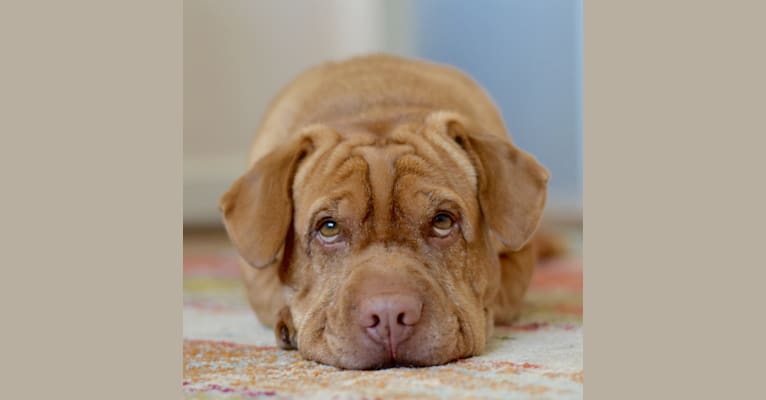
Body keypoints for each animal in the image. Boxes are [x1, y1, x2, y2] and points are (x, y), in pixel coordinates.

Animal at [220, 53, 552, 368]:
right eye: (328, 227)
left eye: (443, 221)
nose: (390, 314)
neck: (376, 109)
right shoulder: (256, 275)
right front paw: (288, 319)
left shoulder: (519, 257)